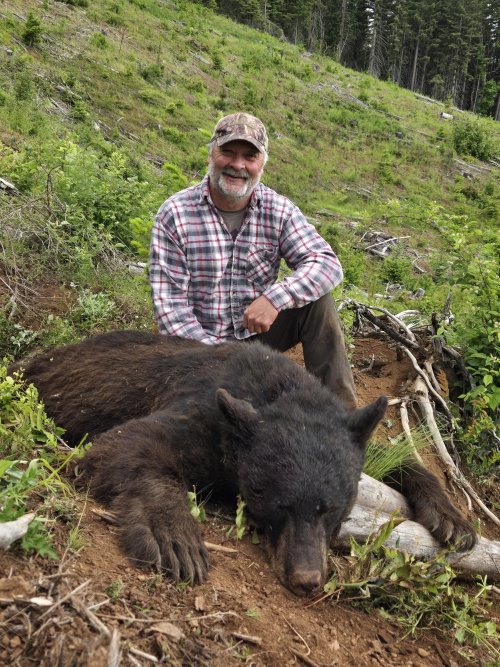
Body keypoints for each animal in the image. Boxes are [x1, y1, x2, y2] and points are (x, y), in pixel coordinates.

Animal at [11, 330, 476, 597]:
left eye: (331, 510)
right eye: (279, 506)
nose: (307, 580)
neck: (275, 388)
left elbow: (393, 457)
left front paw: (453, 519)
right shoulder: (207, 415)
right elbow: (126, 445)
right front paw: (174, 537)